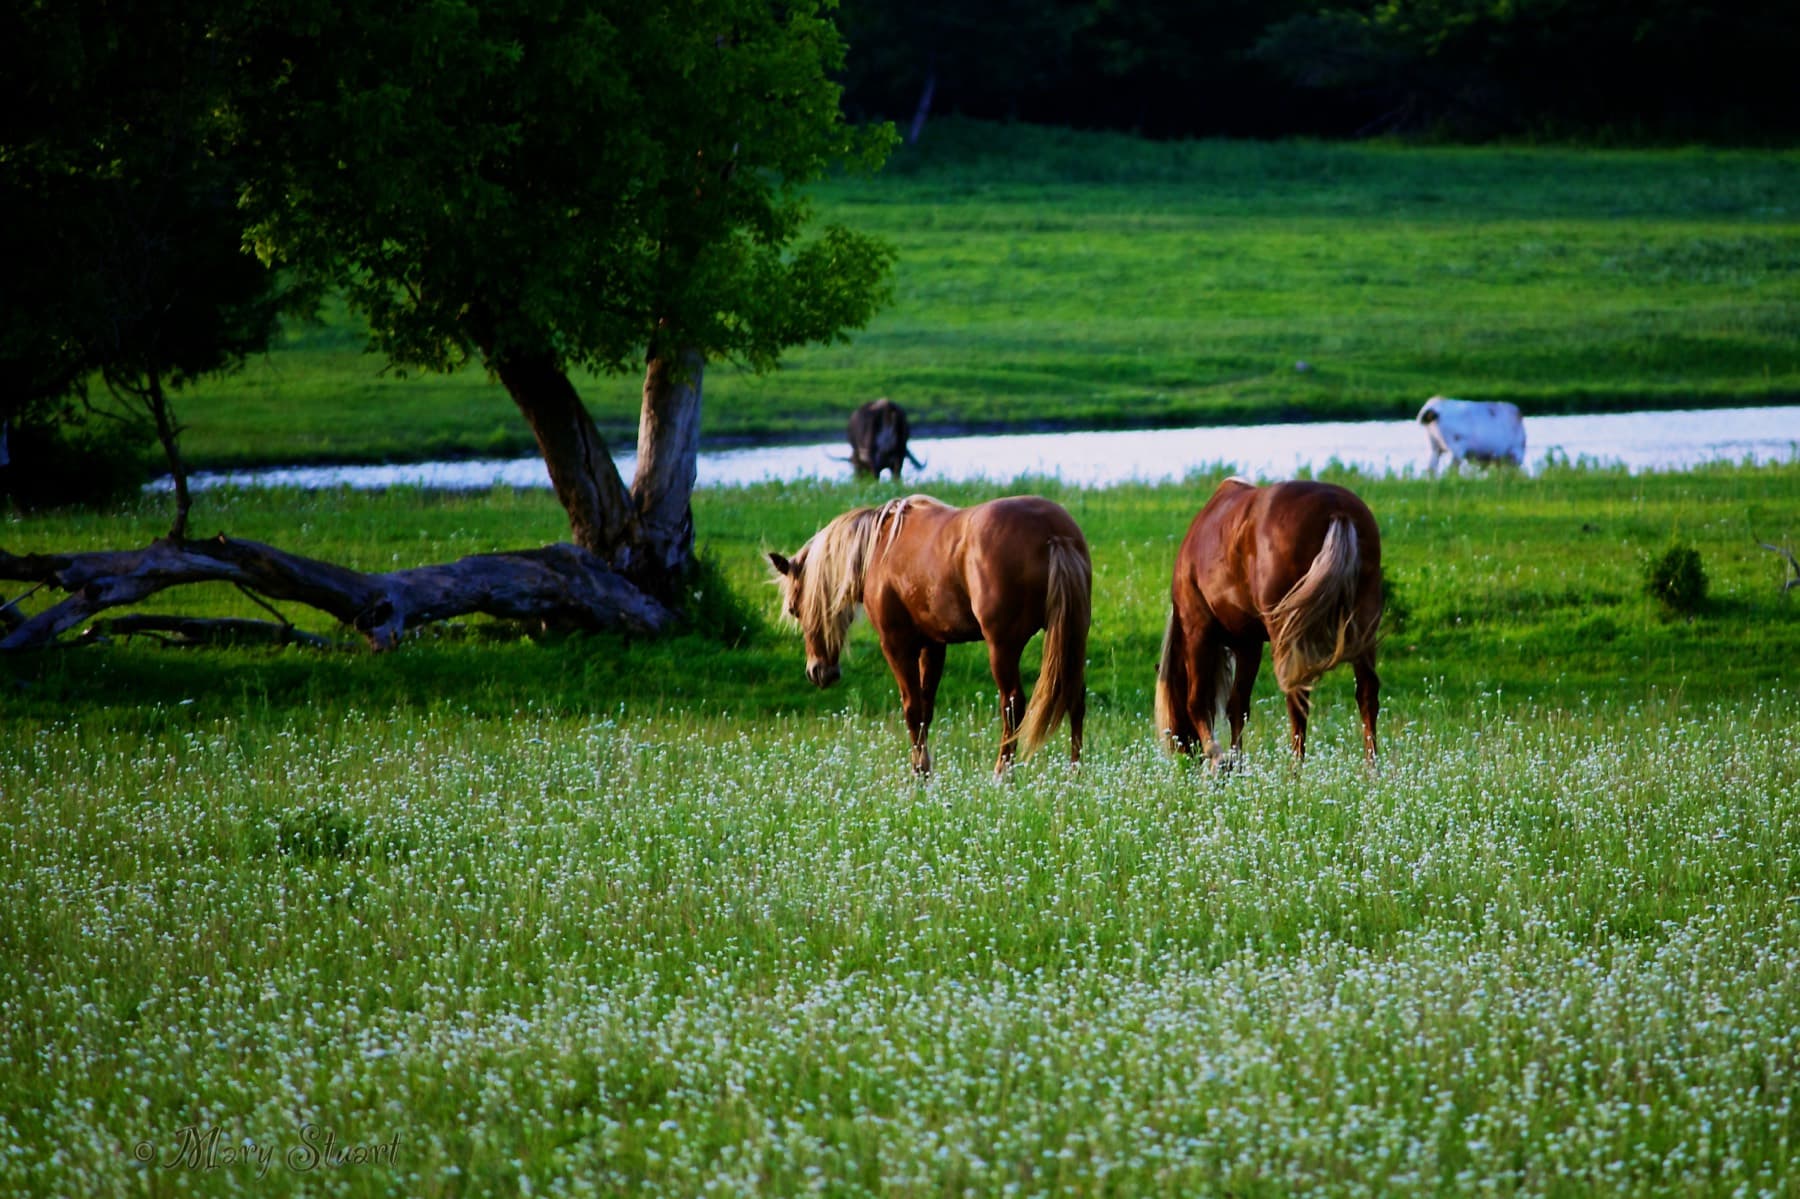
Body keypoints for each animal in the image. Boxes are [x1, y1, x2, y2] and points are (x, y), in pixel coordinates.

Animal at [768, 494, 1090, 776]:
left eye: (795, 609)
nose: (818, 672)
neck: (880, 546)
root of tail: (1053, 533)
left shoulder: (897, 644)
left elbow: (912, 709)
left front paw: (919, 772)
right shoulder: (934, 645)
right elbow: (926, 708)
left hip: (1002, 647)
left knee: (1012, 704)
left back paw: (1003, 773)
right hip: (1072, 636)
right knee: (1075, 697)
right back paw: (1075, 773)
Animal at [1155, 478, 1384, 769]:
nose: (1186, 757)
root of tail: (1337, 509)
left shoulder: (1198, 631)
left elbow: (1197, 702)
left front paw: (1218, 757)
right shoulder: (1248, 645)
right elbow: (1237, 706)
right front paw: (1237, 765)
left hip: (1288, 633)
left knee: (1297, 698)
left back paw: (1295, 770)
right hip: (1363, 624)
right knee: (1367, 693)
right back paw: (1372, 769)